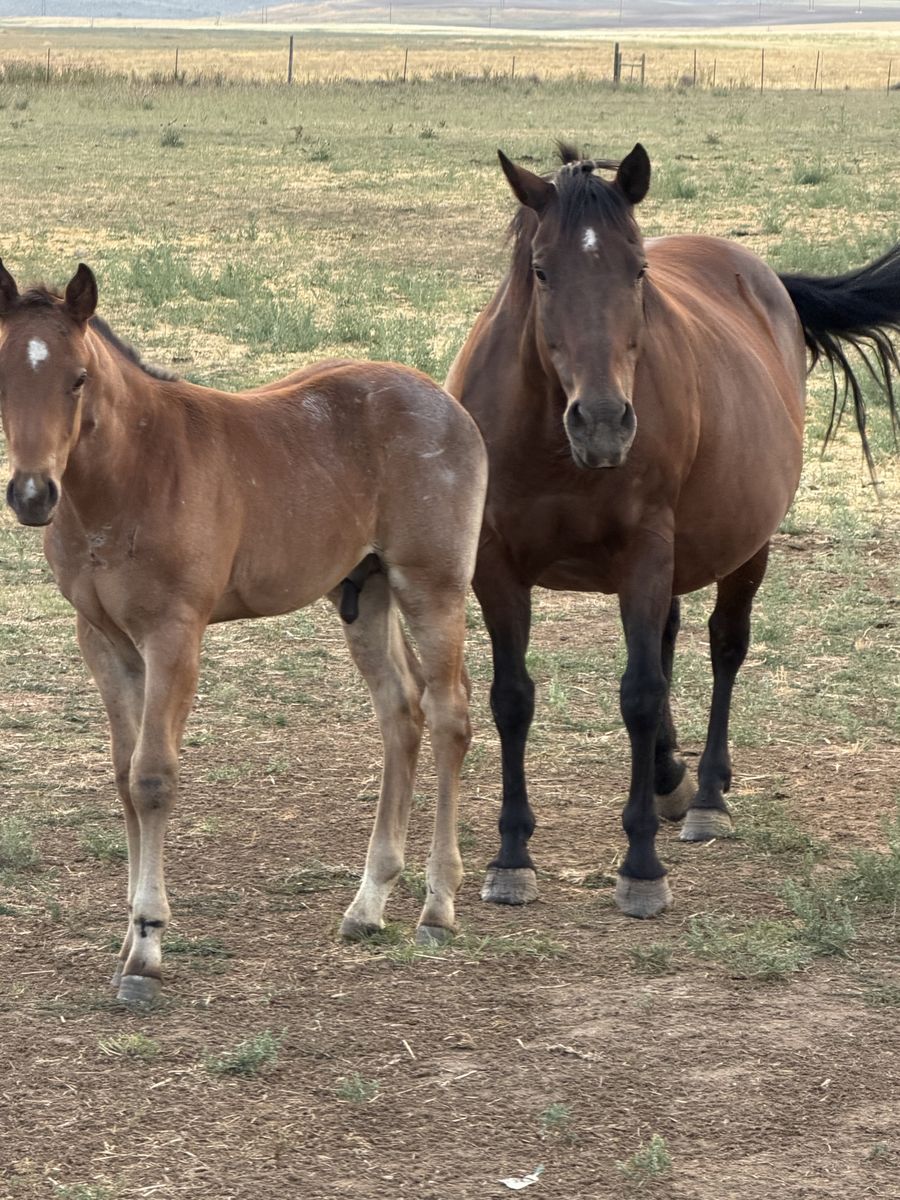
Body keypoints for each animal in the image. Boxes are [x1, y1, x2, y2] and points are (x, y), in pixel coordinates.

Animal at [0, 261, 488, 1002]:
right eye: (0, 374)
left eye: (77, 378)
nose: (32, 495)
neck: (132, 474)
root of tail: (445, 399)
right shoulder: (103, 640)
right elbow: (122, 776)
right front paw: (127, 939)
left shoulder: (175, 634)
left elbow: (153, 777)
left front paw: (147, 948)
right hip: (365, 592)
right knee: (400, 712)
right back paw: (368, 903)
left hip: (430, 585)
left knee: (450, 713)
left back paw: (438, 906)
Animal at [446, 142, 900, 918]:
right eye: (541, 270)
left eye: (637, 270)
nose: (602, 422)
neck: (551, 443)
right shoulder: (496, 567)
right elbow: (513, 698)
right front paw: (512, 856)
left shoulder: (644, 555)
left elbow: (639, 693)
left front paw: (641, 866)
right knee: (668, 640)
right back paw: (669, 776)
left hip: (744, 548)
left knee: (723, 648)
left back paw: (706, 793)